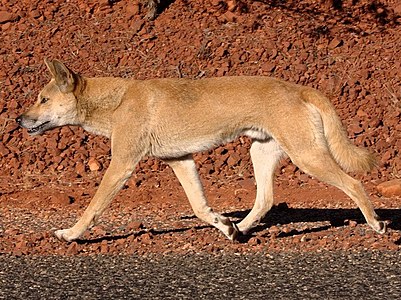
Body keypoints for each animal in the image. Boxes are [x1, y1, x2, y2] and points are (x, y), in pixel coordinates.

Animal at [17, 59, 386, 243]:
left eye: (43, 99)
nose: (19, 119)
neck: (116, 101)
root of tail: (299, 88)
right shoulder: (180, 160)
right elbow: (198, 207)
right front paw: (224, 225)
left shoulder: (122, 163)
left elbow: (92, 208)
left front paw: (69, 234)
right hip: (261, 153)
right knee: (265, 199)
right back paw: (240, 230)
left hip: (307, 156)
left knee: (353, 183)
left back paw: (376, 224)